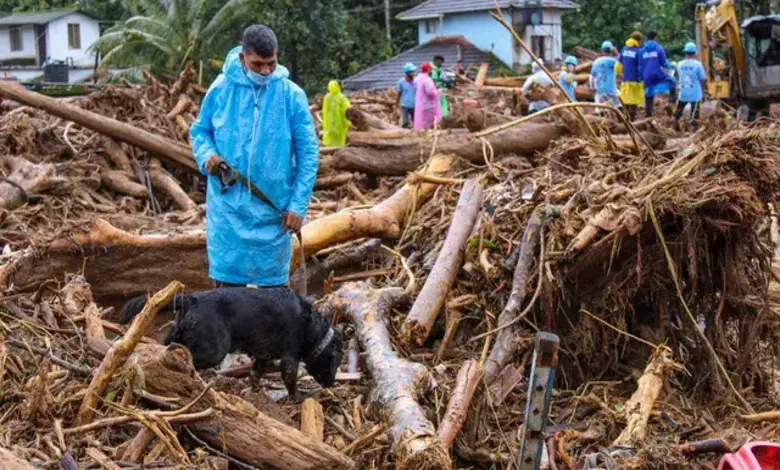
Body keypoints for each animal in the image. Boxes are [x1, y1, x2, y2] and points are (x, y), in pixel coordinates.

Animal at [119, 286, 342, 400]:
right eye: (335, 362)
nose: (332, 383)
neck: (311, 326)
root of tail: (192, 299)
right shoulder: (290, 357)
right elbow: (290, 380)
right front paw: (298, 399)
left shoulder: (263, 355)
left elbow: (255, 373)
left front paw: (254, 393)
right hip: (215, 349)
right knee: (187, 356)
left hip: (181, 330)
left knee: (169, 341)